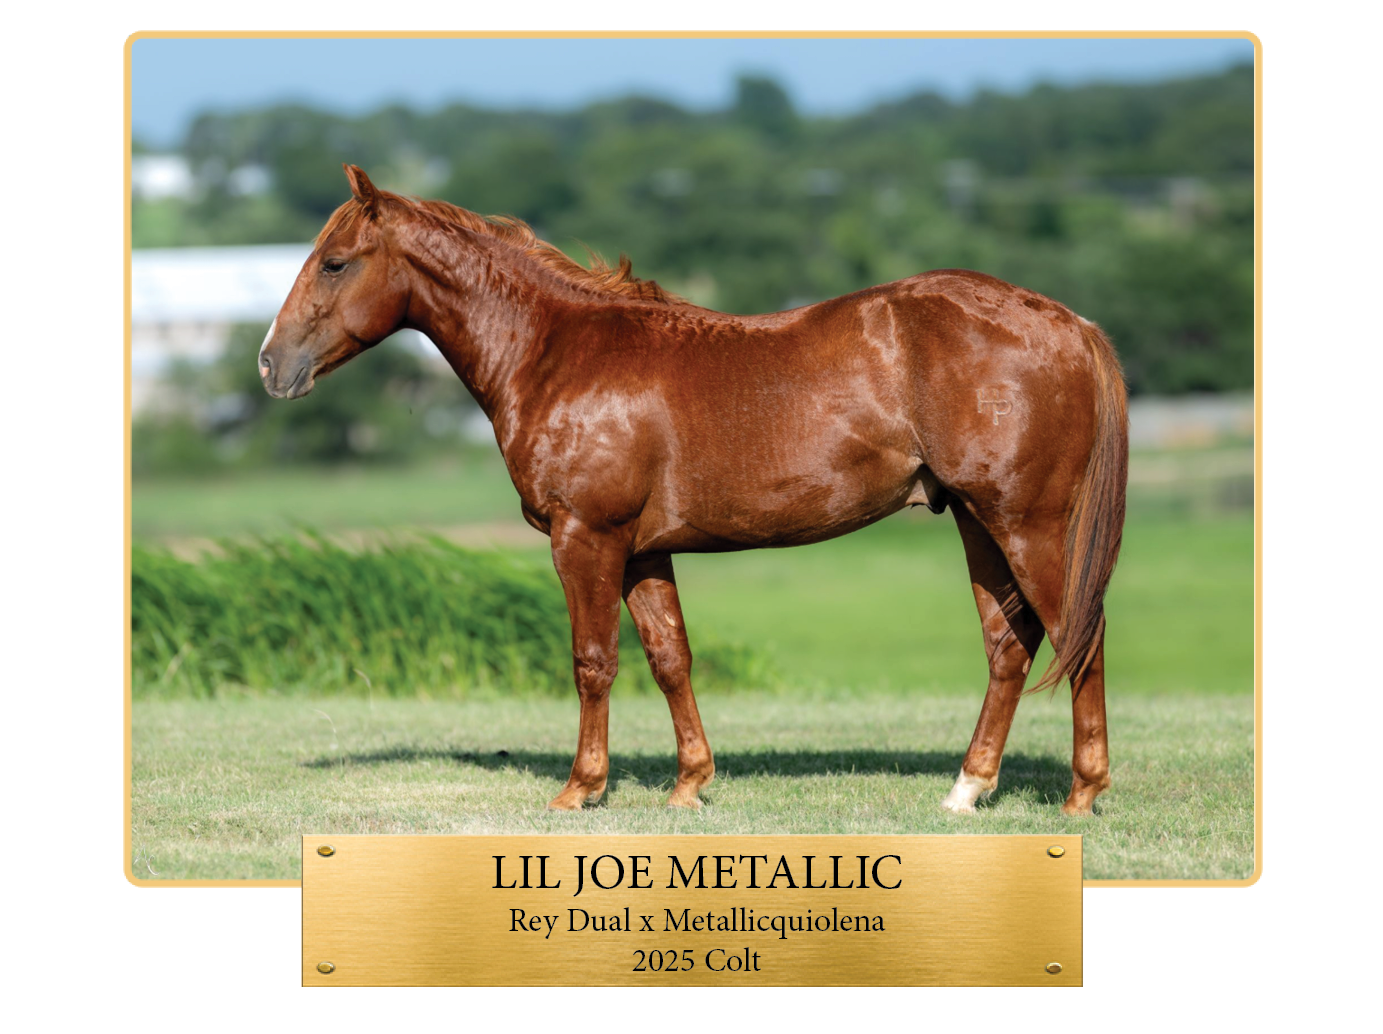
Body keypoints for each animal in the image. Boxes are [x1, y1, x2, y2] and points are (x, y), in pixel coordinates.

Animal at [259, 165, 1128, 816]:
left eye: (334, 261)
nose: (271, 364)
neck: (559, 351)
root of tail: (1069, 323)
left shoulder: (586, 537)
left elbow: (592, 660)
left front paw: (580, 789)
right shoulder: (643, 552)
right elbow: (668, 657)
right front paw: (689, 784)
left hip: (1029, 526)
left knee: (1079, 638)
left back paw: (1081, 794)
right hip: (979, 523)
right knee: (1008, 646)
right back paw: (966, 788)